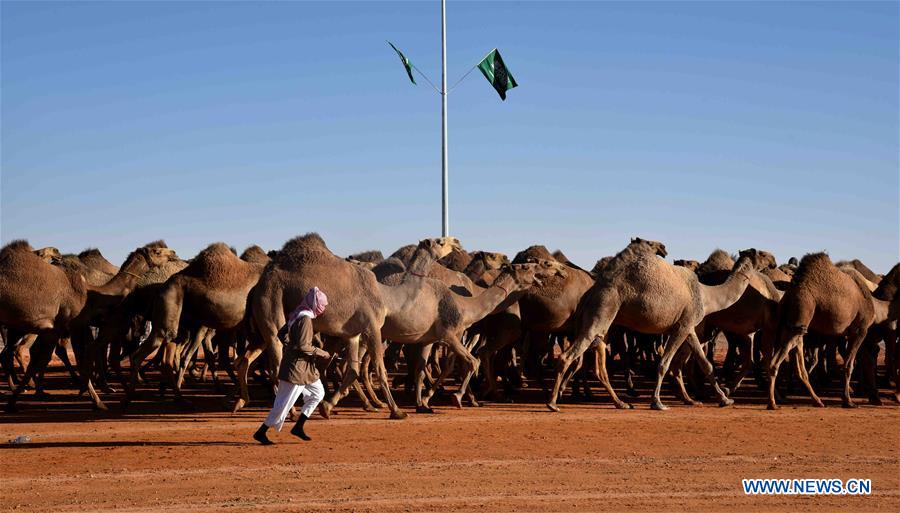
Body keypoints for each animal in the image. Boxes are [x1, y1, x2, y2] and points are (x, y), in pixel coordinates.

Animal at [548, 240, 760, 412]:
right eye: (759, 256)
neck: (707, 296)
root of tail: (591, 292)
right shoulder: (681, 326)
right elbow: (663, 363)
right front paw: (657, 402)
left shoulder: (689, 327)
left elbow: (706, 364)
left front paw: (724, 399)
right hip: (604, 307)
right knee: (569, 355)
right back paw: (553, 404)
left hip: (601, 319)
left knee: (597, 362)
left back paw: (620, 403)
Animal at [768, 252, 876, 408]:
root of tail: (787, 296)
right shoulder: (860, 330)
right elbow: (849, 365)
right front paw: (848, 401)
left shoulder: (844, 335)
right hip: (803, 311)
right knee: (775, 362)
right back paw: (773, 402)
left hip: (791, 325)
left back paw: (815, 399)